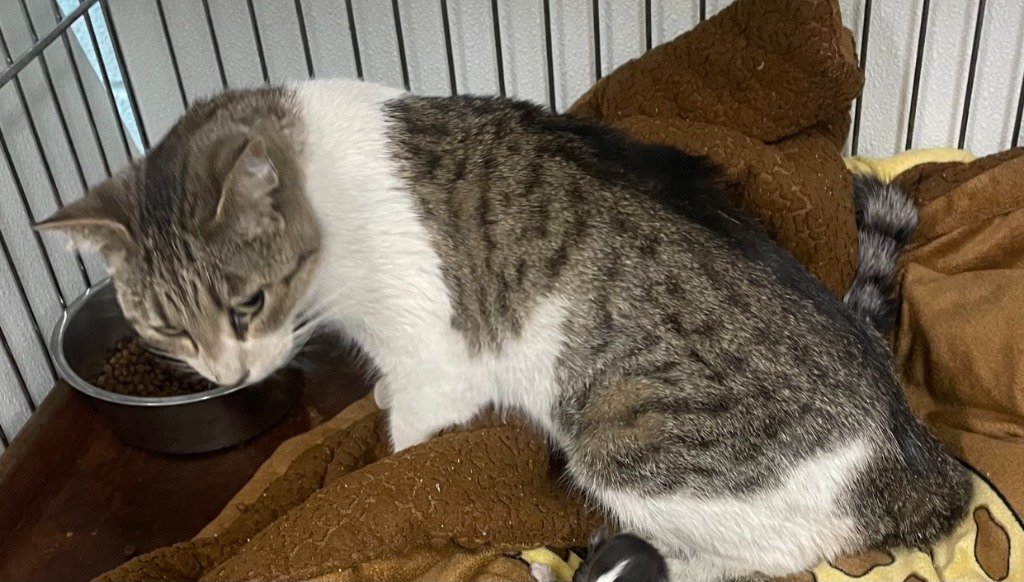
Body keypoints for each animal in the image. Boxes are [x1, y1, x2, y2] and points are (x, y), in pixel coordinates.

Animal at [37, 78, 966, 581]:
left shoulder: (436, 352)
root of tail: (921, 464)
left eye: (246, 304)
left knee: (783, 552)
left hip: (625, 438)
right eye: (166, 330)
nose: (231, 378)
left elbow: (410, 436)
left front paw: (390, 461)